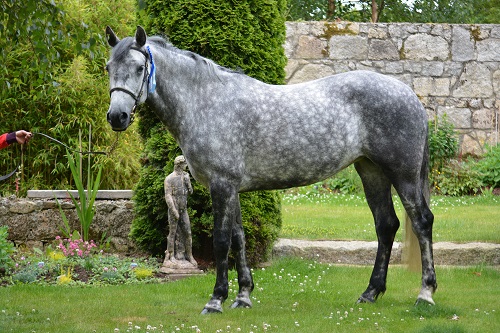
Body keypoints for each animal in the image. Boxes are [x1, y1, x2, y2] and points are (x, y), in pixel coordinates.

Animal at [105, 26, 438, 314]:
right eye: (108, 67)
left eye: (139, 68)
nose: (117, 116)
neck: (207, 102)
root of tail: (410, 95)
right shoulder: (232, 188)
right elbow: (238, 238)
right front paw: (243, 296)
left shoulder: (221, 185)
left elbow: (221, 240)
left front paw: (216, 300)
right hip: (371, 172)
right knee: (386, 225)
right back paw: (370, 293)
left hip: (403, 175)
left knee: (421, 222)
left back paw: (425, 294)